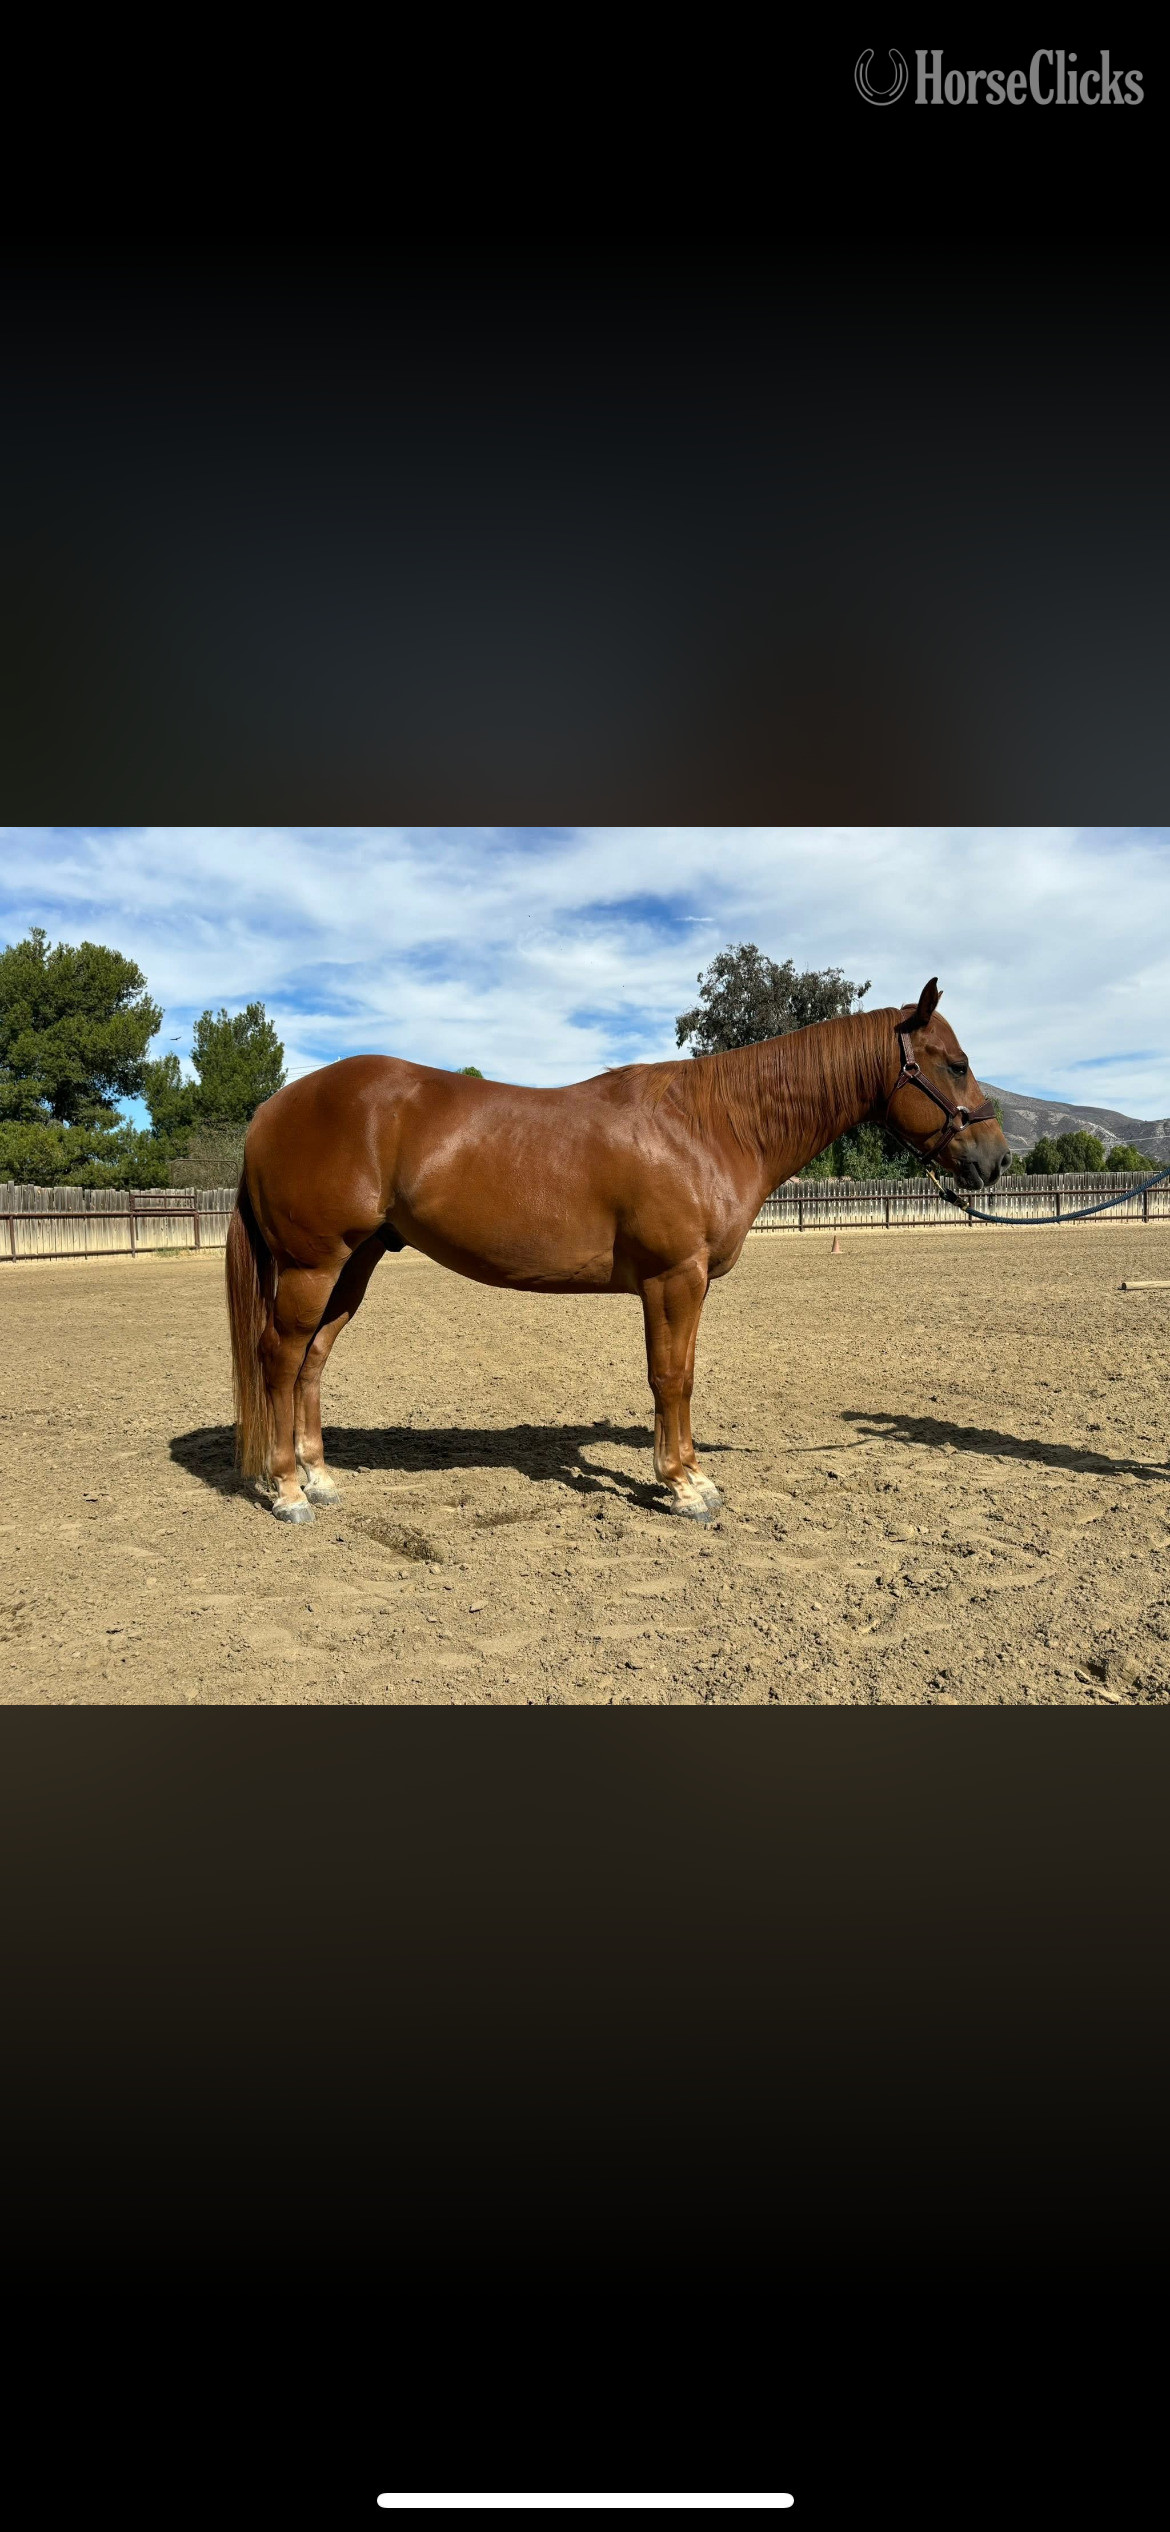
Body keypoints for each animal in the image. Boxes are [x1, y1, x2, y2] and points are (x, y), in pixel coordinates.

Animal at [225, 976, 1010, 1525]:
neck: (711, 1126)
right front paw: (685, 1486)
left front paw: (689, 1474)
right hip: (313, 1265)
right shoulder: (674, 1279)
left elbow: (680, 1375)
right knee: (280, 1358)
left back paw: (321, 1478)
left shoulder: (685, 1283)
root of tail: (272, 1110)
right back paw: (288, 1491)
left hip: (355, 1264)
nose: (997, 1159)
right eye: (955, 1063)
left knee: (313, 1362)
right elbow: (672, 1378)